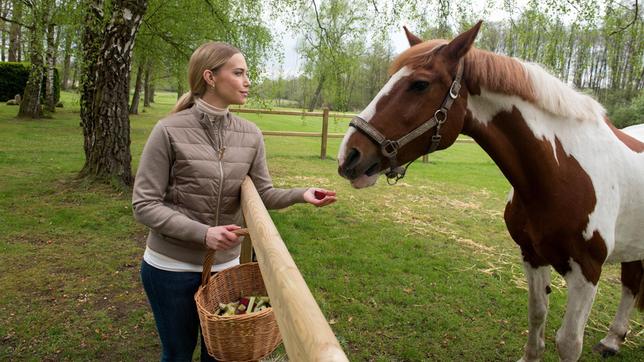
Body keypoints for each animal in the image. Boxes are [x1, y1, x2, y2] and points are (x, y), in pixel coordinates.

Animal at [338, 21, 644, 360]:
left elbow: (568, 342)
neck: (561, 171)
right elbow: (537, 313)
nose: (349, 155)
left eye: (419, 84)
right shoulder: (532, 255)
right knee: (632, 283)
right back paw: (612, 339)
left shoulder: (586, 273)